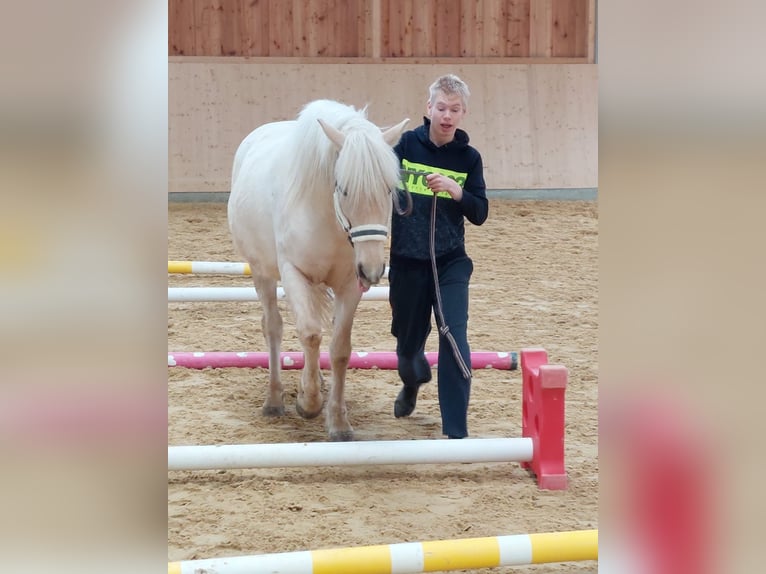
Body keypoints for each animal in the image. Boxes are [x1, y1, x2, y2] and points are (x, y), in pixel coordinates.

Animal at [228, 99, 409, 441]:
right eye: (344, 188)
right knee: (274, 327)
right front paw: (308, 403)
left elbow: (339, 349)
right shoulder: (294, 274)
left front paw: (337, 421)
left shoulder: (349, 285)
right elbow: (310, 334)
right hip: (263, 274)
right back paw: (275, 399)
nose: (372, 270)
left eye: (388, 189)